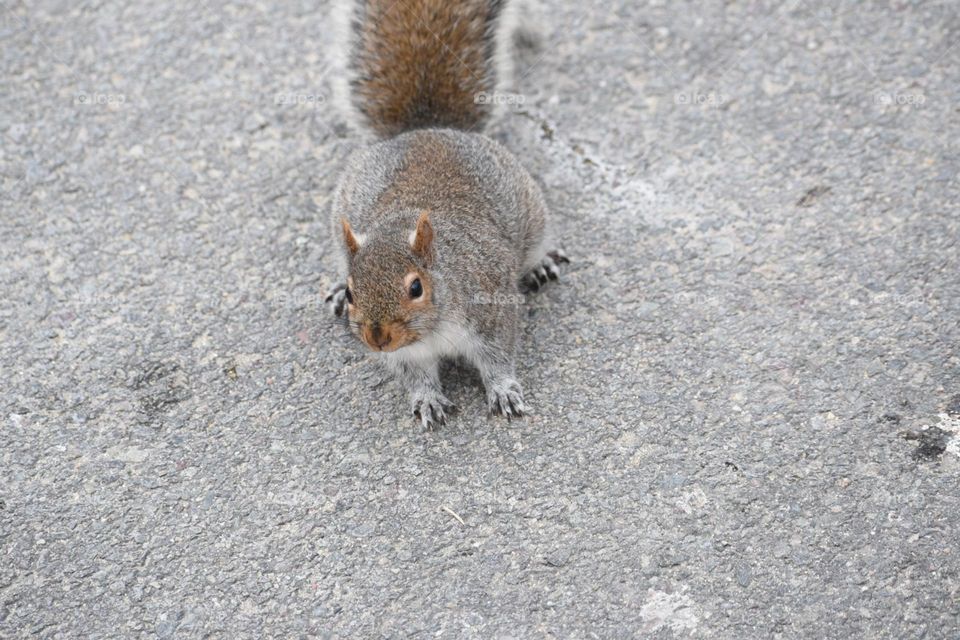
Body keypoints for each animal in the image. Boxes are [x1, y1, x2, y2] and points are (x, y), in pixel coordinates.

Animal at [322, 0, 568, 430]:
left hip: (532, 213)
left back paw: (540, 265)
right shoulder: (406, 354)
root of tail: (427, 128)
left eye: (416, 288)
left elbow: (499, 357)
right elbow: (416, 376)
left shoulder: (491, 311)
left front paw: (504, 391)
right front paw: (427, 399)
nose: (377, 338)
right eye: (354, 293)